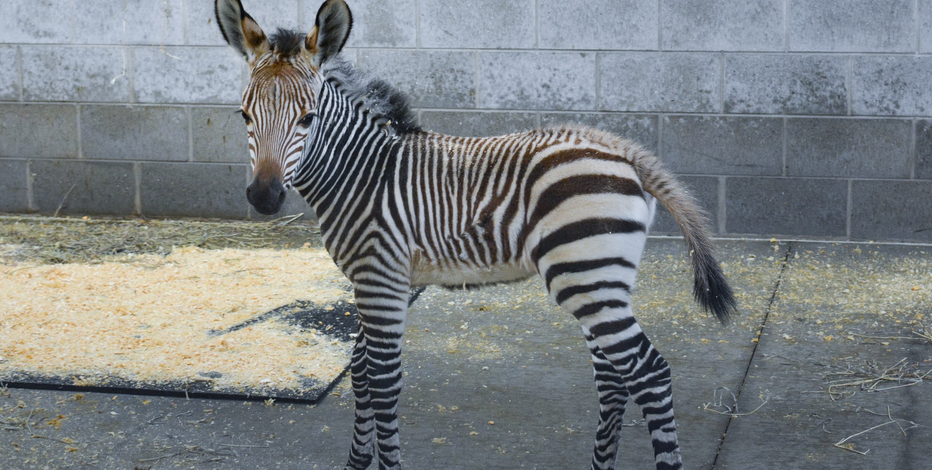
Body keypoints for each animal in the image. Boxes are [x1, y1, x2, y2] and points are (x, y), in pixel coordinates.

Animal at [215, 1, 737, 469]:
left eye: (308, 118)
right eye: (243, 116)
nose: (263, 197)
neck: (364, 173)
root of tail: (623, 150)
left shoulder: (380, 279)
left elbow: (382, 381)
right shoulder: (376, 282)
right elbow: (360, 375)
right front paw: (356, 462)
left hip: (586, 276)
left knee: (649, 373)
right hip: (600, 280)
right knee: (614, 379)